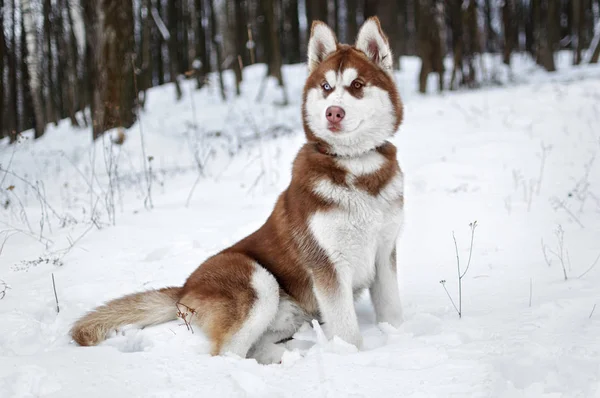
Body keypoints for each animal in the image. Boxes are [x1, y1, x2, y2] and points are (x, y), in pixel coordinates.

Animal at [72, 19, 406, 366]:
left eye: (357, 85)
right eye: (326, 87)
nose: (333, 112)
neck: (358, 168)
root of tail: (184, 288)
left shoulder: (384, 252)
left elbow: (392, 312)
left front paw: (401, 340)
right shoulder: (329, 265)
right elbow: (348, 334)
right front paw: (351, 359)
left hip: (288, 312)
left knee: (258, 347)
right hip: (257, 281)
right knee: (227, 353)